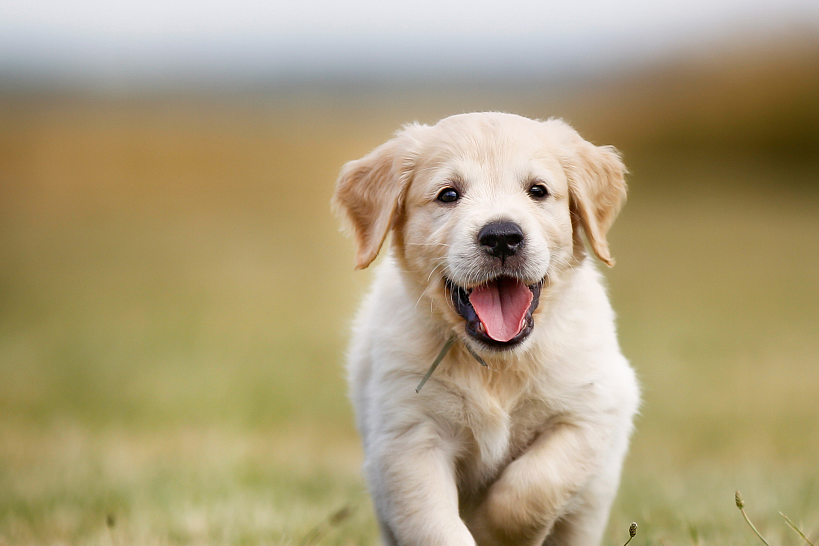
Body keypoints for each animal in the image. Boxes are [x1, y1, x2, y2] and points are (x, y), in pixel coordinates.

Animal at [334, 111, 640, 544]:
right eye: (448, 195)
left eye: (538, 191)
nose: (502, 236)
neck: (498, 365)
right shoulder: (408, 439)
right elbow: (438, 528)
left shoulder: (592, 411)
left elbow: (535, 484)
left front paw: (493, 529)